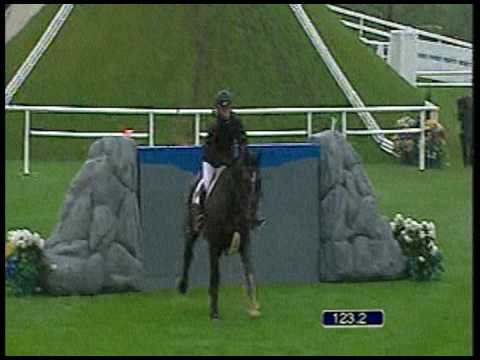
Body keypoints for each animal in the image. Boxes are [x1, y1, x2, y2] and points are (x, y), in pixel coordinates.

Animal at [177, 150, 262, 320]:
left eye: (258, 181)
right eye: (244, 179)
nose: (253, 216)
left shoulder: (244, 244)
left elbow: (249, 271)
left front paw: (253, 307)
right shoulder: (214, 245)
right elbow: (215, 276)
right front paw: (214, 312)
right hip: (191, 229)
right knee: (188, 253)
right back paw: (183, 286)